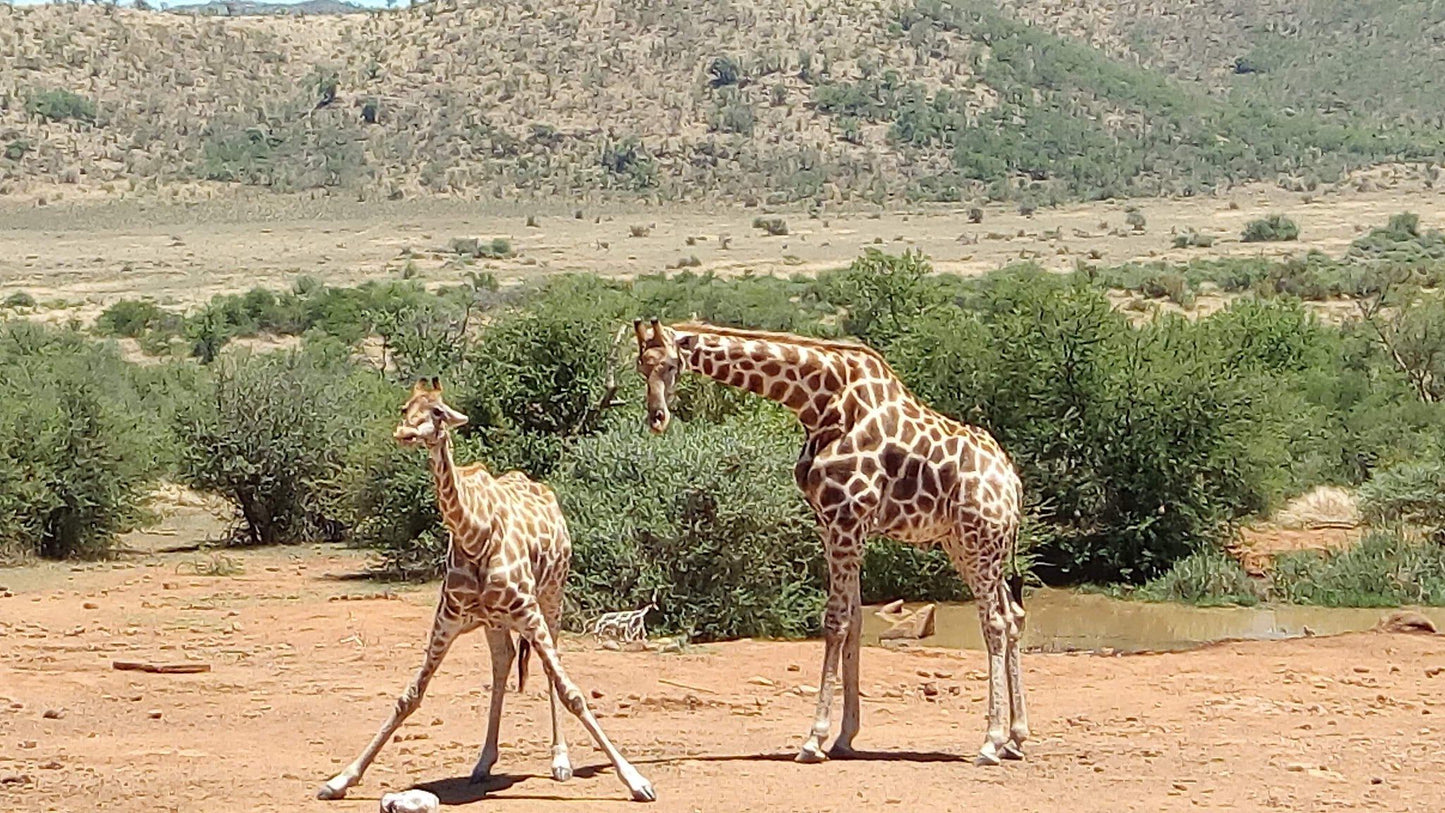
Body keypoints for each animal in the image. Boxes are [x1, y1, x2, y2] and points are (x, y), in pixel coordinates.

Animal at [319, 378, 658, 802]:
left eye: (438, 412)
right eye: (405, 409)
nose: (405, 433)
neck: (473, 533)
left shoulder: (528, 612)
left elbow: (572, 692)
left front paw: (636, 780)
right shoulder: (446, 621)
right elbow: (409, 696)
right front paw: (341, 778)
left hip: (552, 597)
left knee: (548, 667)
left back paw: (560, 761)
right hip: (496, 621)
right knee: (503, 663)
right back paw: (483, 763)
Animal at [632, 322, 1028, 768]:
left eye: (670, 364)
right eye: (640, 365)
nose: (657, 417)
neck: (818, 403)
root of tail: (1012, 481)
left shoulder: (847, 519)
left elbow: (835, 622)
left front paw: (812, 740)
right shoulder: (831, 525)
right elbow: (854, 623)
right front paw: (843, 737)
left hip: (980, 542)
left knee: (994, 623)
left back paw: (990, 743)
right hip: (970, 545)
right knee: (1013, 616)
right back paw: (1015, 737)